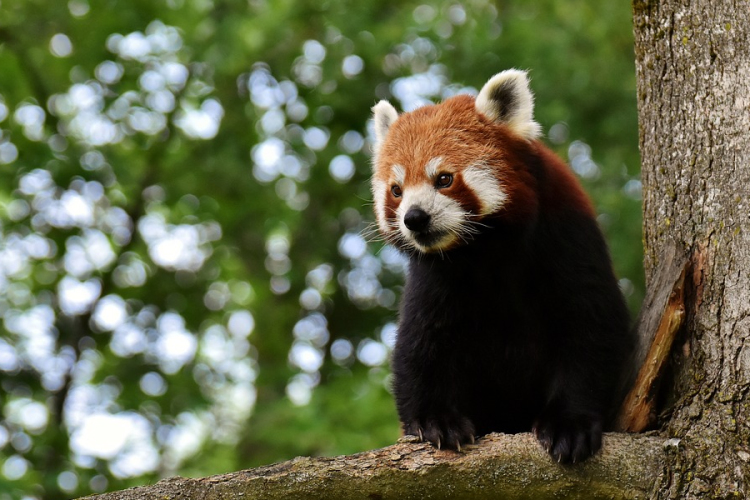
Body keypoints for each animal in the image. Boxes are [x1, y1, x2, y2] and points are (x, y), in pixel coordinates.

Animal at [370, 68, 636, 462]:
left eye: (444, 178)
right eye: (396, 190)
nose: (414, 218)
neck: (485, 250)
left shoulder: (567, 238)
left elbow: (591, 326)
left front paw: (569, 424)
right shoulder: (435, 275)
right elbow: (420, 343)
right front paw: (436, 421)